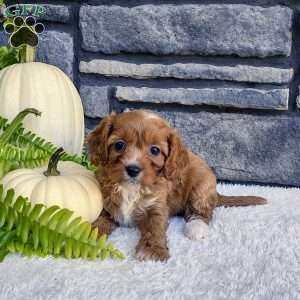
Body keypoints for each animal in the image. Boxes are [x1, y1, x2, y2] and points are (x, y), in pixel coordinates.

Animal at [87, 109, 268, 260]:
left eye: (154, 150)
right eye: (119, 145)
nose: (132, 169)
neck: (131, 187)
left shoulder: (157, 205)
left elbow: (155, 226)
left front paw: (153, 250)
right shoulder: (106, 202)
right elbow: (99, 220)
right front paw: (89, 237)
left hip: (202, 187)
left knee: (203, 212)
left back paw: (196, 227)